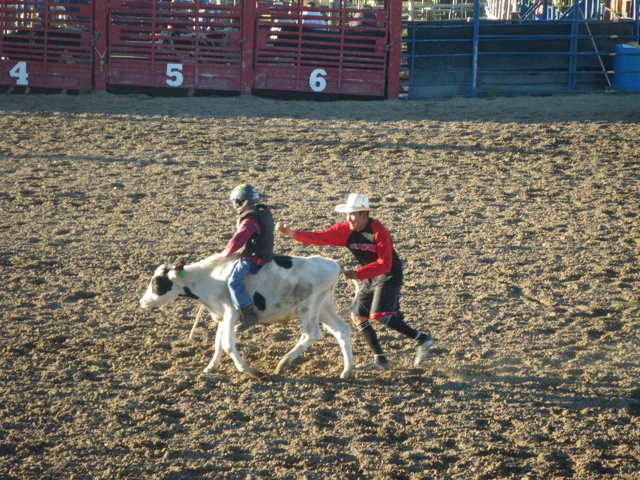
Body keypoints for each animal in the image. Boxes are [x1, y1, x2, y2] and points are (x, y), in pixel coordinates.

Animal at [139, 253, 355, 379]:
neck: (209, 277)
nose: (142, 302)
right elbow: (218, 343)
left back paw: (283, 363)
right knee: (341, 330)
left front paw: (248, 370)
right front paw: (210, 367)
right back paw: (347, 370)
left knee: (311, 334)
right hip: (324, 307)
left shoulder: (231, 313)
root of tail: (334, 263)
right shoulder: (222, 316)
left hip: (308, 308)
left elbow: (227, 344)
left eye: (157, 283)